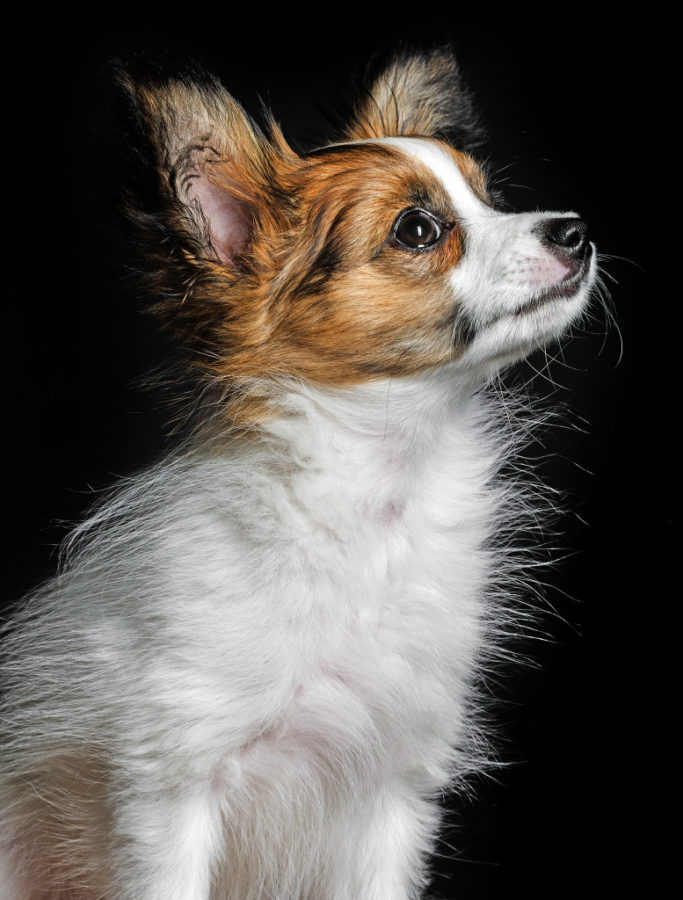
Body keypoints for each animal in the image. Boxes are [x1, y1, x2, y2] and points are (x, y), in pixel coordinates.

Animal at [0, 49, 596, 900]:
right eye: (418, 230)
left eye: (489, 198)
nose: (576, 230)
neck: (370, 499)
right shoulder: (170, 788)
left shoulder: (392, 797)